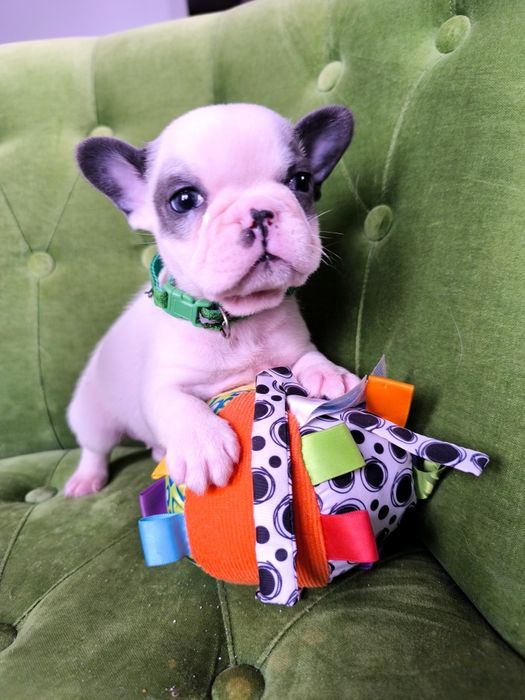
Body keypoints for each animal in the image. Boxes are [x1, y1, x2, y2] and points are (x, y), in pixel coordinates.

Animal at [65, 103, 360, 497]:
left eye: (300, 181)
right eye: (184, 200)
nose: (259, 211)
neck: (236, 318)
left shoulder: (294, 347)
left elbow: (309, 357)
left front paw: (331, 374)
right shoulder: (162, 385)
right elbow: (178, 403)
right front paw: (201, 444)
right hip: (93, 416)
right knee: (94, 449)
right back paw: (86, 479)